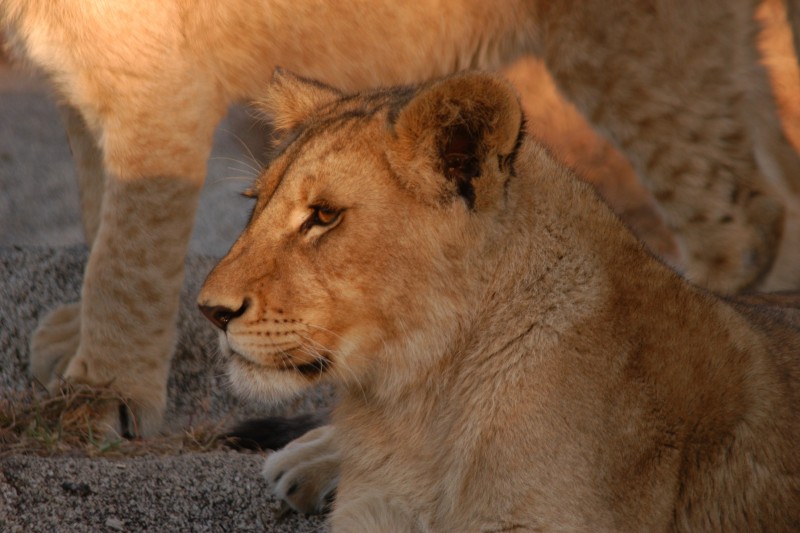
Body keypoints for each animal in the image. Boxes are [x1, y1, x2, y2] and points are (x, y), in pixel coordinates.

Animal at [2, 0, 798, 435]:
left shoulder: (160, 83)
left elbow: (128, 252)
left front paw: (101, 394)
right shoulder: (87, 82)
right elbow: (100, 204)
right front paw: (81, 346)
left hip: (632, 40)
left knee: (744, 212)